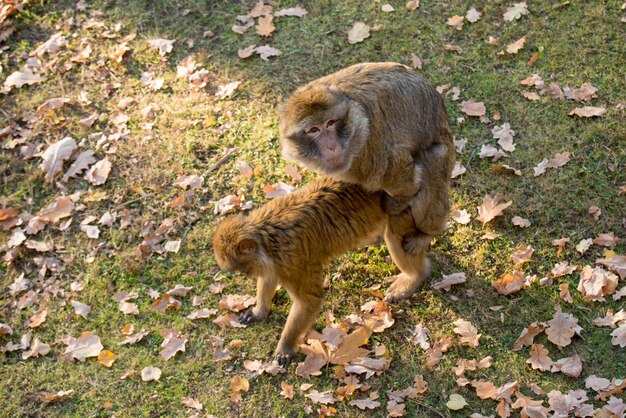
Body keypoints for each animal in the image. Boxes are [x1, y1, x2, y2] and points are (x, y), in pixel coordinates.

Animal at [211, 178, 414, 364]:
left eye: (244, 268)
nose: (249, 275)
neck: (268, 236)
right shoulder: (276, 262)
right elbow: (270, 276)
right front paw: (259, 312)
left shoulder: (292, 260)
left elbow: (309, 301)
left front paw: (285, 347)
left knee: (395, 234)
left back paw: (412, 279)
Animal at [280, 62, 454, 302]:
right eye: (314, 130)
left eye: (330, 123)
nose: (332, 146)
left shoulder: (371, 144)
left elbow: (403, 177)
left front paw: (394, 204)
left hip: (444, 161)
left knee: (432, 157)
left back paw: (426, 236)